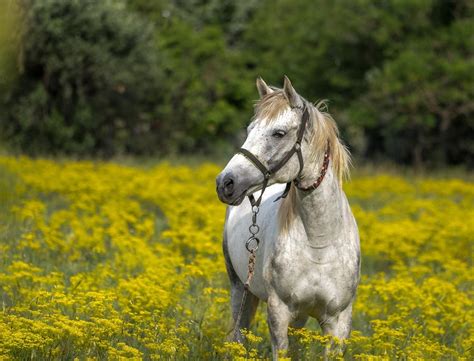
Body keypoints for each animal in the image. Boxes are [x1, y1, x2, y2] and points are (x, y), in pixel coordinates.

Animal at [215, 76, 360, 358]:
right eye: (249, 130)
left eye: (278, 133)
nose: (225, 183)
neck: (319, 242)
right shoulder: (279, 313)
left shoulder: (338, 322)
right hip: (240, 290)